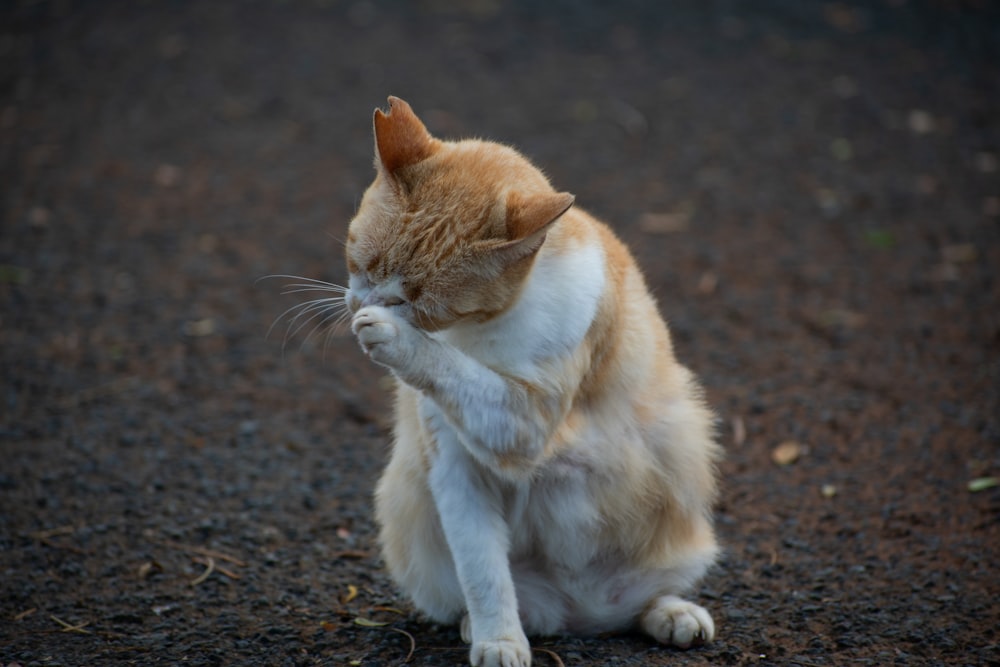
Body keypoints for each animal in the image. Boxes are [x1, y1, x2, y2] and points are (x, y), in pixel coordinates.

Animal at [344, 95, 720, 667]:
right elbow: (484, 576)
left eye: (416, 303)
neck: (479, 334)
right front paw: (499, 639)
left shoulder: (523, 422)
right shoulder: (457, 470)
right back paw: (479, 627)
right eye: (363, 264)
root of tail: (580, 616)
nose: (366, 304)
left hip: (686, 455)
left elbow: (448, 366)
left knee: (642, 602)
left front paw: (392, 336)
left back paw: (673, 614)